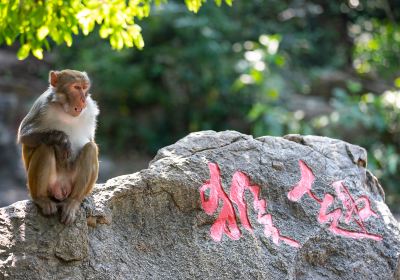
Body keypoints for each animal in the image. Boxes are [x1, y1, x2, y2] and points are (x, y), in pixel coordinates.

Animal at [17, 69, 100, 225]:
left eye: (84, 88)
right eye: (76, 87)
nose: (83, 99)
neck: (64, 109)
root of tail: (61, 189)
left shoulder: (90, 108)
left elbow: (91, 141)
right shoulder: (42, 104)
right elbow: (24, 135)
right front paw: (61, 139)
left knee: (91, 149)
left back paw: (73, 202)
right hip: (45, 186)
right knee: (45, 147)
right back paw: (41, 199)